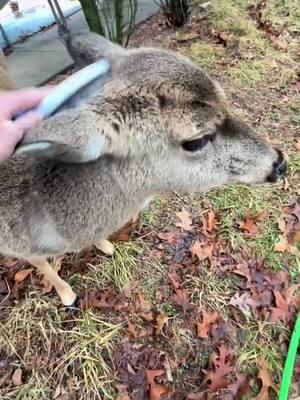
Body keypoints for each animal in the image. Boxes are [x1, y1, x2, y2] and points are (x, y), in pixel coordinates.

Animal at [0, 32, 288, 304]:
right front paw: (67, 295)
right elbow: (42, 265)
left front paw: (106, 246)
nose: (280, 162)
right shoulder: (18, 248)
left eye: (226, 102)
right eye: (196, 141)